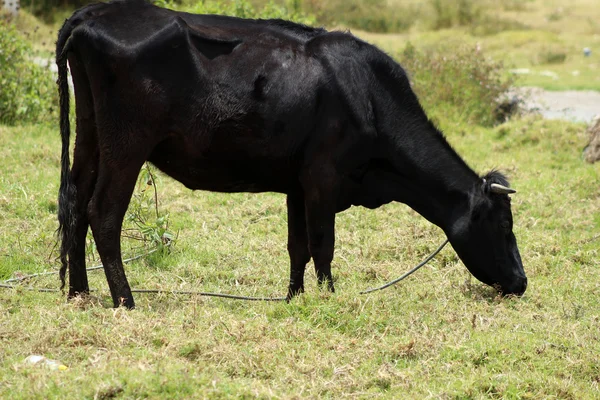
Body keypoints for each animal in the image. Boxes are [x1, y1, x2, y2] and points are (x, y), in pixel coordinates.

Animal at [56, 0, 524, 310]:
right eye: (504, 225)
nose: (520, 282)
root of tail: (92, 13)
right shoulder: (324, 176)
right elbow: (324, 243)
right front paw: (330, 296)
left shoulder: (297, 184)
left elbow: (297, 245)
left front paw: (294, 297)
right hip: (127, 144)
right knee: (103, 212)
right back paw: (125, 300)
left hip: (91, 134)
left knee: (75, 203)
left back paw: (79, 292)